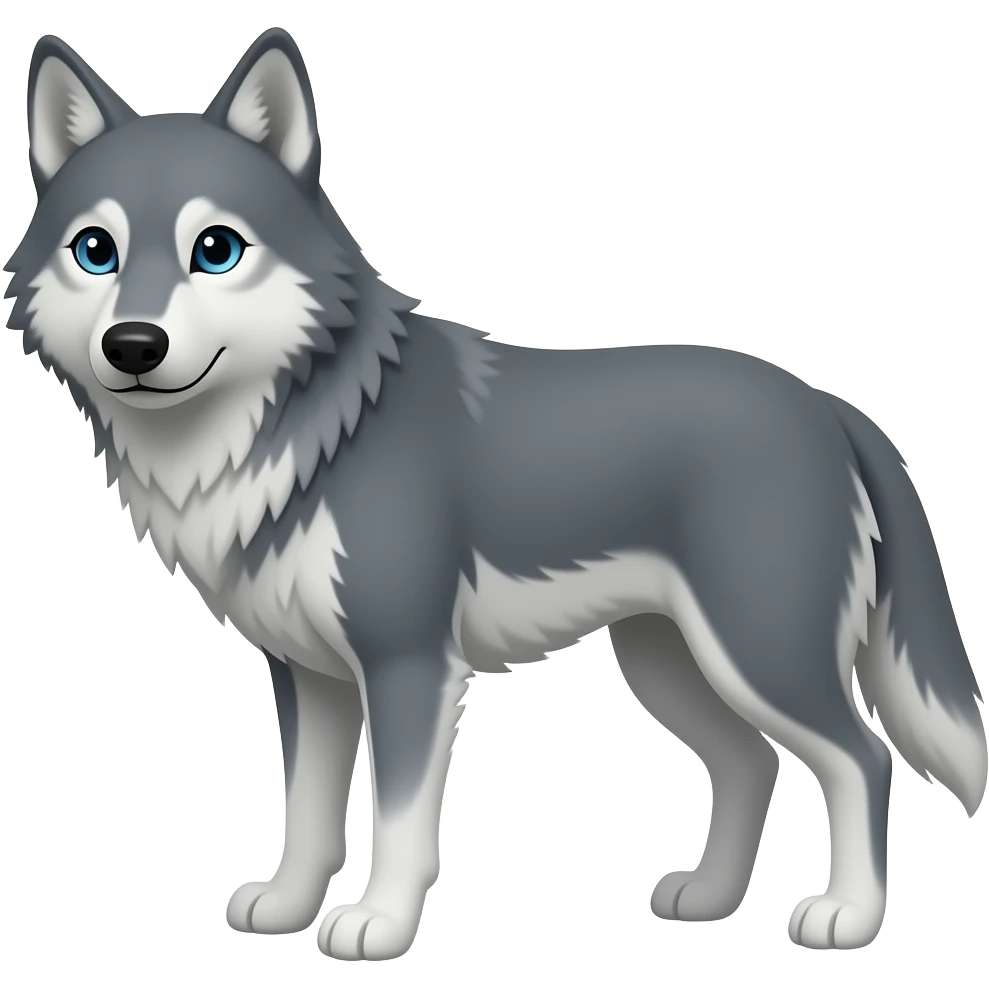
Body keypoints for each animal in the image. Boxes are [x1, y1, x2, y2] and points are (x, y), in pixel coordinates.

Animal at [3, 27, 985, 961]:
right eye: (96, 251)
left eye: (215, 251)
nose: (133, 344)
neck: (313, 425)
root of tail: (829, 405)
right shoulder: (309, 676)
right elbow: (308, 813)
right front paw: (285, 908)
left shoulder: (407, 663)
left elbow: (398, 821)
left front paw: (377, 926)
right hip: (667, 661)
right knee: (751, 763)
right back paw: (707, 898)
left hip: (757, 651)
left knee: (861, 758)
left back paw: (847, 915)